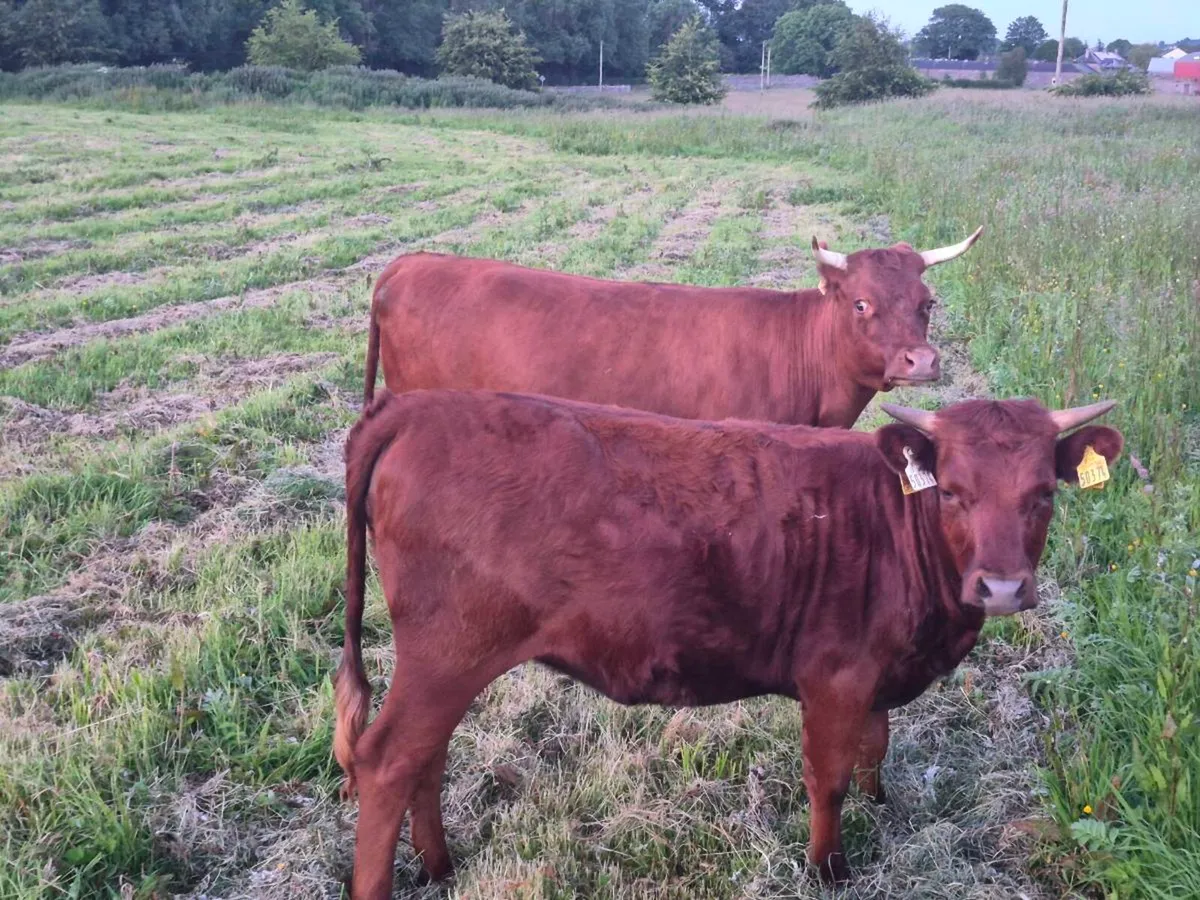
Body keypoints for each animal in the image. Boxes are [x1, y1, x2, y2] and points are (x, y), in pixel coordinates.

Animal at [332, 387, 1122, 898]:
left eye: (1043, 495)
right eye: (953, 491)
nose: (1002, 588)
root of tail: (420, 407)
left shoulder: (876, 675)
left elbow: (876, 747)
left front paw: (880, 808)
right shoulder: (836, 676)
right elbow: (828, 776)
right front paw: (828, 869)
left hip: (445, 663)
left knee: (423, 759)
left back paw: (441, 867)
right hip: (449, 653)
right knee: (387, 761)